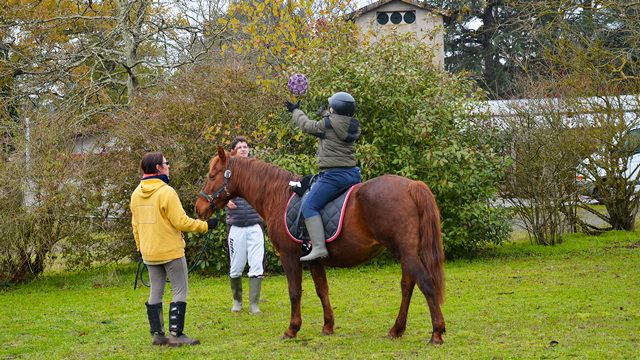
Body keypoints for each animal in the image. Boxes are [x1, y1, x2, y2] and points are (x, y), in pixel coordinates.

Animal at [192, 146, 448, 344]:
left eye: (212, 175)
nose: (198, 208)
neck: (279, 196)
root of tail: (411, 185)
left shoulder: (289, 256)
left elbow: (295, 292)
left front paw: (292, 329)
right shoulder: (314, 258)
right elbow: (321, 289)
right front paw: (328, 326)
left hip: (405, 252)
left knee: (425, 283)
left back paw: (436, 332)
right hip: (405, 253)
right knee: (407, 285)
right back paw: (396, 329)